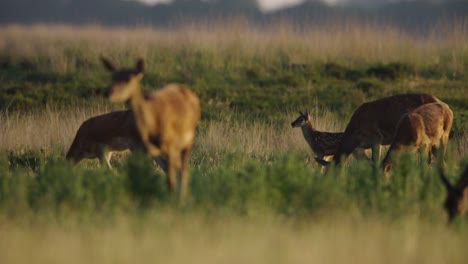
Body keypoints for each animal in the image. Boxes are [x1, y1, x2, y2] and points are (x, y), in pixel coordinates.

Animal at [100, 56, 199, 201]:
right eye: (113, 76)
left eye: (129, 79)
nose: (107, 92)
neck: (153, 125)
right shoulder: (141, 148)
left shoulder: (170, 145)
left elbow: (170, 179)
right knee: (178, 168)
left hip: (188, 141)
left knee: (183, 169)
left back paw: (182, 198)